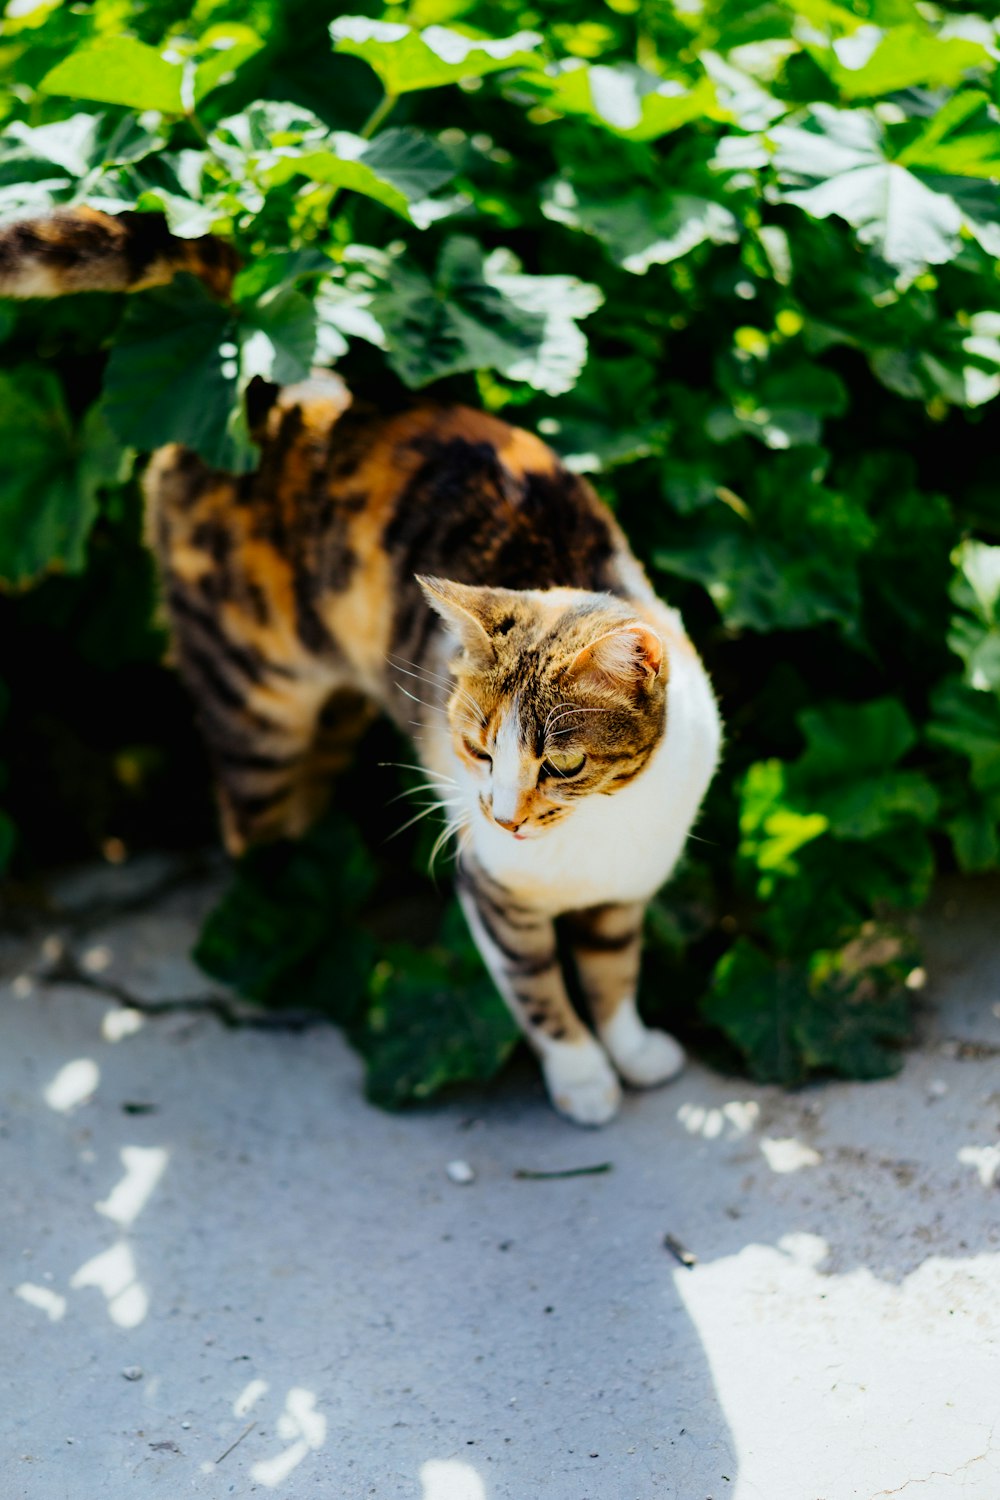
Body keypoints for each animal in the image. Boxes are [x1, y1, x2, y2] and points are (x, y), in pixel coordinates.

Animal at [0, 208, 719, 1128]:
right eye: (477, 748)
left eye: (562, 763)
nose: (504, 817)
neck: (595, 835)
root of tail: (265, 387)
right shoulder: (494, 892)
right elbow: (538, 989)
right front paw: (584, 1079)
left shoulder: (628, 885)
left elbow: (613, 967)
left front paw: (633, 1050)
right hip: (252, 697)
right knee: (252, 817)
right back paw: (280, 918)